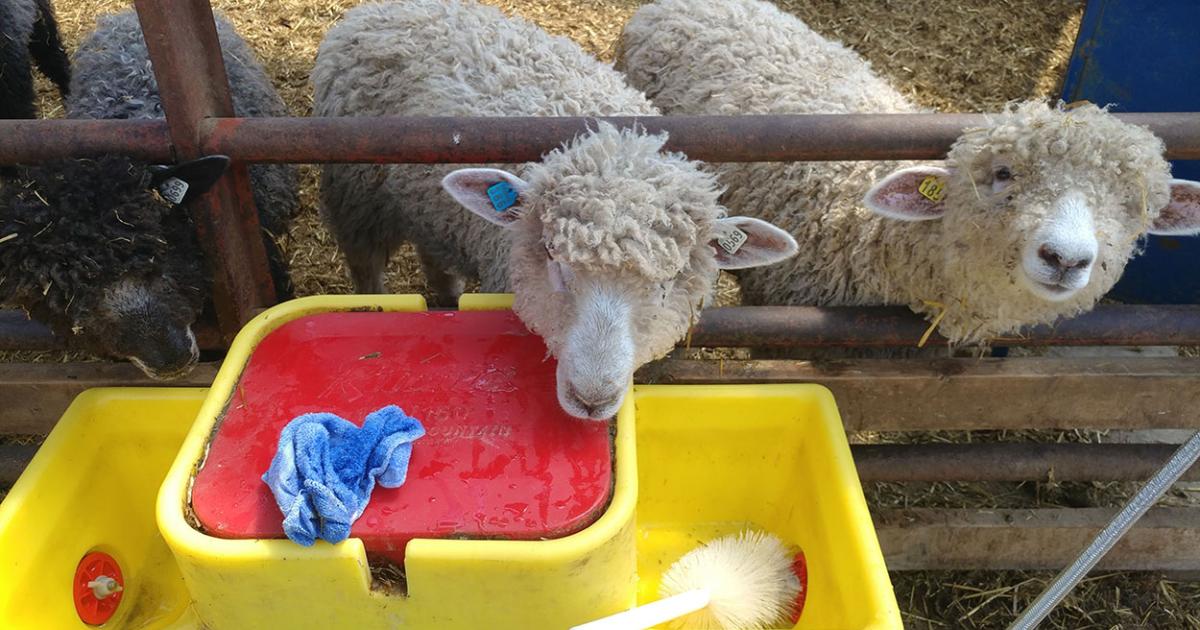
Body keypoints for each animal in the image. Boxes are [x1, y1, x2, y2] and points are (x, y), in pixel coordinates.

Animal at [313, 0, 797, 420]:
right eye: (550, 255)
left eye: (672, 280)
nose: (590, 399)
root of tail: (385, 7)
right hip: (357, 195)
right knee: (366, 266)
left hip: (429, 209)